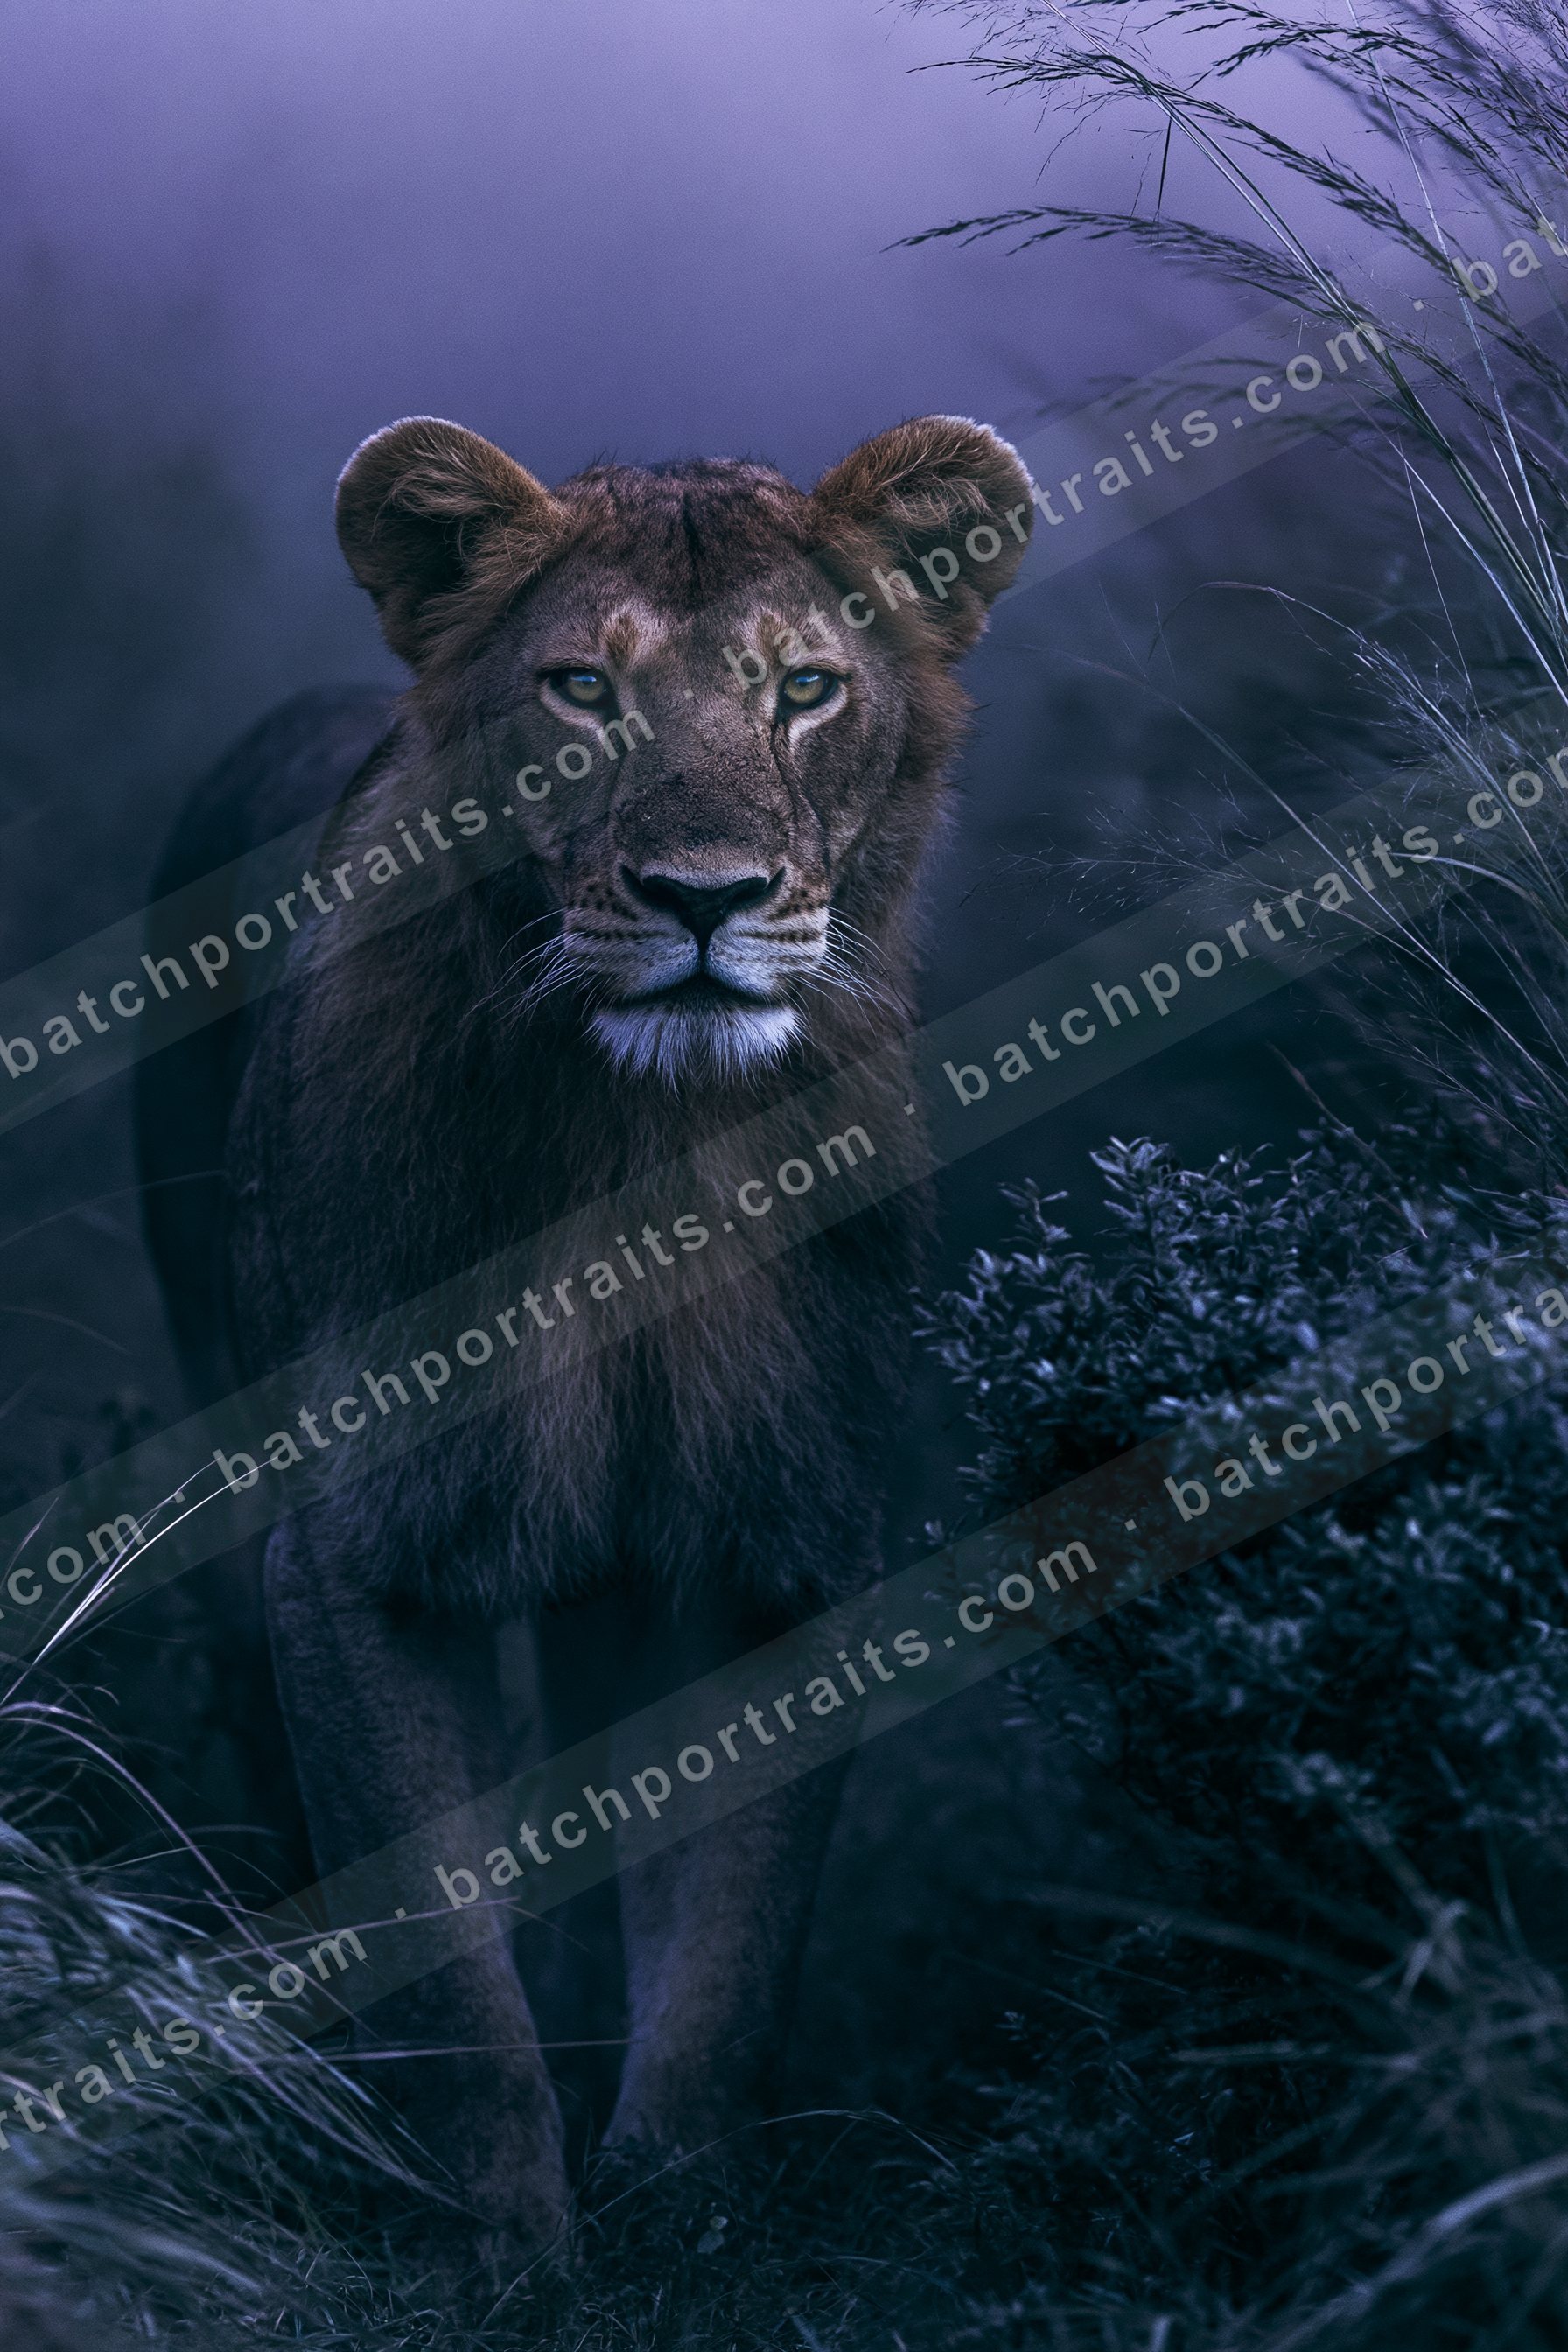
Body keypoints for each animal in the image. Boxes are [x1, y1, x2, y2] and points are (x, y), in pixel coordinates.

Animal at [137, 413, 1032, 2251]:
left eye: (805, 689)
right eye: (579, 691)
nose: (704, 896)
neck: (640, 1145)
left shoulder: (780, 1544)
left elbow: (731, 1947)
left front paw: (682, 2216)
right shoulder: (359, 1554)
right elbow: (443, 1957)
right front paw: (500, 2238)